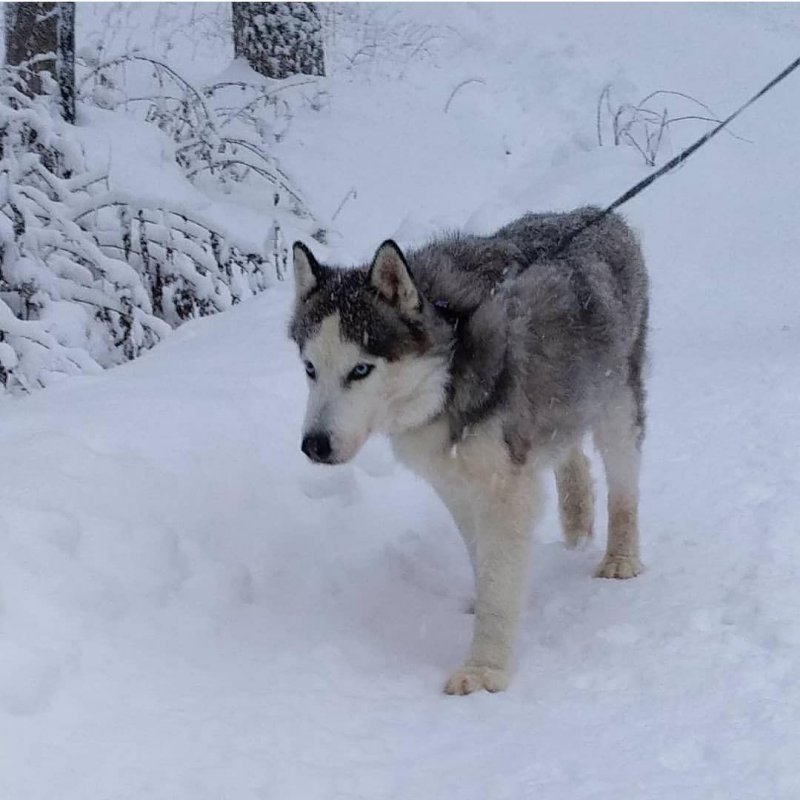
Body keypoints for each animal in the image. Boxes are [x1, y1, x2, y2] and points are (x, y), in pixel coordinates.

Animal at [290, 208, 648, 692]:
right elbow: (483, 558)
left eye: (360, 370)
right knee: (567, 447)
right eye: (310, 369)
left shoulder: (504, 487)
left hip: (617, 400)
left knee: (624, 482)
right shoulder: (455, 480)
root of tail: (593, 213)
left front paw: (485, 667)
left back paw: (621, 557)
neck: (448, 367)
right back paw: (576, 520)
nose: (314, 445)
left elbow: (498, 571)